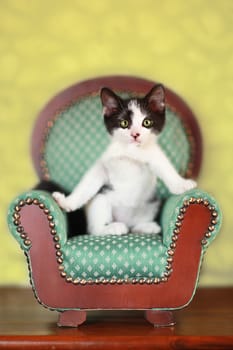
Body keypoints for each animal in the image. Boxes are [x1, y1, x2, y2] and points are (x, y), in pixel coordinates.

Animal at [53, 85, 197, 235]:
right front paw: (67, 202)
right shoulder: (105, 163)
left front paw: (182, 184)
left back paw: (146, 227)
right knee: (94, 229)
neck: (132, 152)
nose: (135, 134)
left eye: (147, 122)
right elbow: (87, 184)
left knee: (135, 225)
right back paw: (112, 227)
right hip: (101, 198)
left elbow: (165, 167)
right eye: (124, 123)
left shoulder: (154, 155)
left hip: (152, 203)